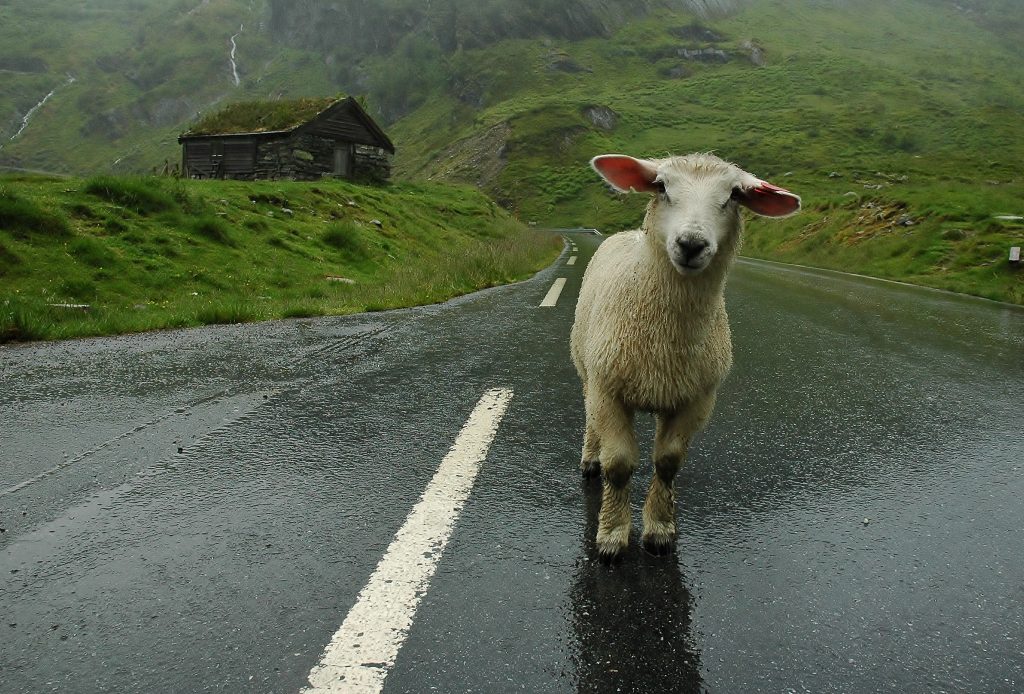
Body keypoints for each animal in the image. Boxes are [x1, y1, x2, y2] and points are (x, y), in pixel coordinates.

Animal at [569, 152, 798, 560]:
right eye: (661, 186)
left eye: (734, 195)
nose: (691, 244)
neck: (666, 339)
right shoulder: (609, 390)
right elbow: (619, 465)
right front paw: (612, 534)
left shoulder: (696, 399)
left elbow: (668, 464)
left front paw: (659, 529)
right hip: (589, 371)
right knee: (590, 417)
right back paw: (590, 458)